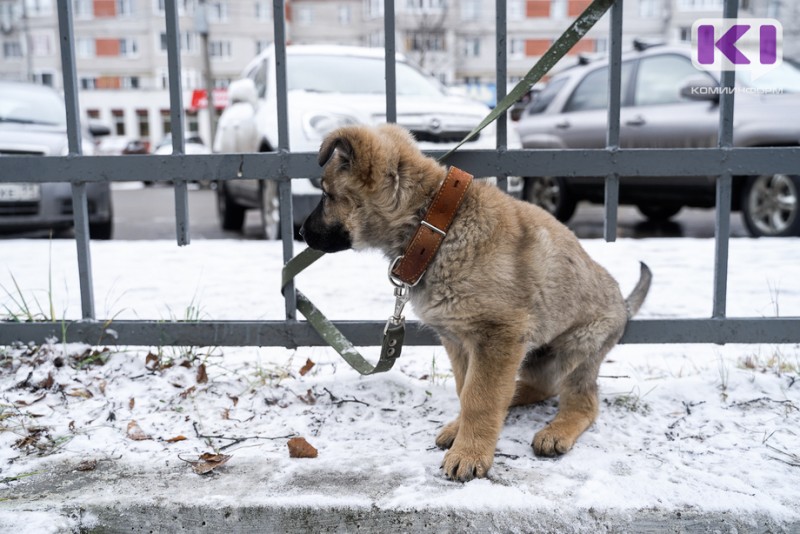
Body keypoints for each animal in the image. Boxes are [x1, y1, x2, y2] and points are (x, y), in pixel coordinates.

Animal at [300, 123, 648, 484]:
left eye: (326, 195)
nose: (300, 233)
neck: (434, 227)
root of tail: (624, 306)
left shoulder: (497, 336)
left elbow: (479, 397)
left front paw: (469, 454)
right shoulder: (458, 339)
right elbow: (466, 389)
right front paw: (463, 432)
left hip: (576, 347)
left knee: (583, 402)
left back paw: (557, 431)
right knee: (537, 386)